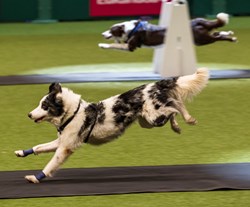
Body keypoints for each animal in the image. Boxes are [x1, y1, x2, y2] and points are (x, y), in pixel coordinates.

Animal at [15, 68, 209, 184]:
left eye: (44, 106)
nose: (29, 114)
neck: (72, 113)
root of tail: (155, 83)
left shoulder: (65, 148)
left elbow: (50, 165)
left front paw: (35, 178)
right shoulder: (61, 141)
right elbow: (38, 147)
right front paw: (21, 152)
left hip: (154, 117)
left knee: (175, 107)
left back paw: (186, 121)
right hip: (147, 121)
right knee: (175, 103)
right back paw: (183, 123)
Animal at [98, 12, 237, 51]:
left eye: (111, 30)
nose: (102, 34)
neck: (130, 29)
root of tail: (197, 21)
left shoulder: (130, 46)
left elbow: (113, 45)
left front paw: (102, 45)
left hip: (201, 40)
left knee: (217, 37)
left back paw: (232, 38)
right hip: (202, 37)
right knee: (217, 33)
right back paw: (230, 33)